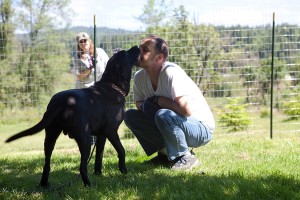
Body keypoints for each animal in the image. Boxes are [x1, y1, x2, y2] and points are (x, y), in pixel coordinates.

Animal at [4, 44, 141, 187]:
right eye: (126, 53)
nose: (136, 46)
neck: (113, 86)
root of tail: (62, 102)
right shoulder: (111, 131)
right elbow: (121, 150)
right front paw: (123, 171)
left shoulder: (101, 134)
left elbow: (99, 155)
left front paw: (99, 174)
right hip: (85, 139)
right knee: (82, 167)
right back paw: (89, 185)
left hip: (51, 136)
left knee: (47, 163)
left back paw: (44, 185)